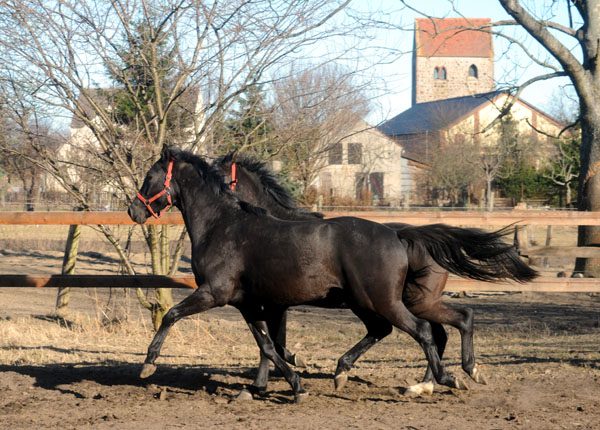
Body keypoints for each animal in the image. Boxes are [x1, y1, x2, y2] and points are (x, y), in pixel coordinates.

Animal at [127, 146, 474, 402]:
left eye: (149, 176)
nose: (134, 211)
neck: (222, 225)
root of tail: (398, 236)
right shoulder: (247, 303)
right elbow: (268, 346)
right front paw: (288, 385)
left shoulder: (215, 293)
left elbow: (171, 314)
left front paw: (147, 365)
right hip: (376, 302)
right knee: (425, 327)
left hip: (384, 301)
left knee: (425, 330)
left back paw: (444, 379)